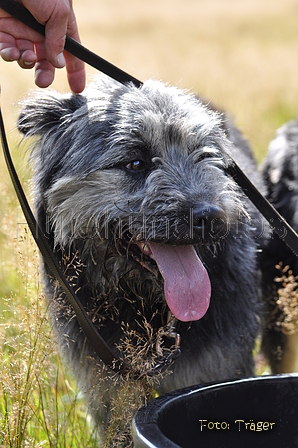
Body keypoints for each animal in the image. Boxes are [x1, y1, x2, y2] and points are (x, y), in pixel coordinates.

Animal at [17, 78, 266, 434]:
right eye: (135, 162)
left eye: (204, 155)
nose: (211, 216)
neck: (143, 305)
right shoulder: (111, 392)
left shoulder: (219, 370)